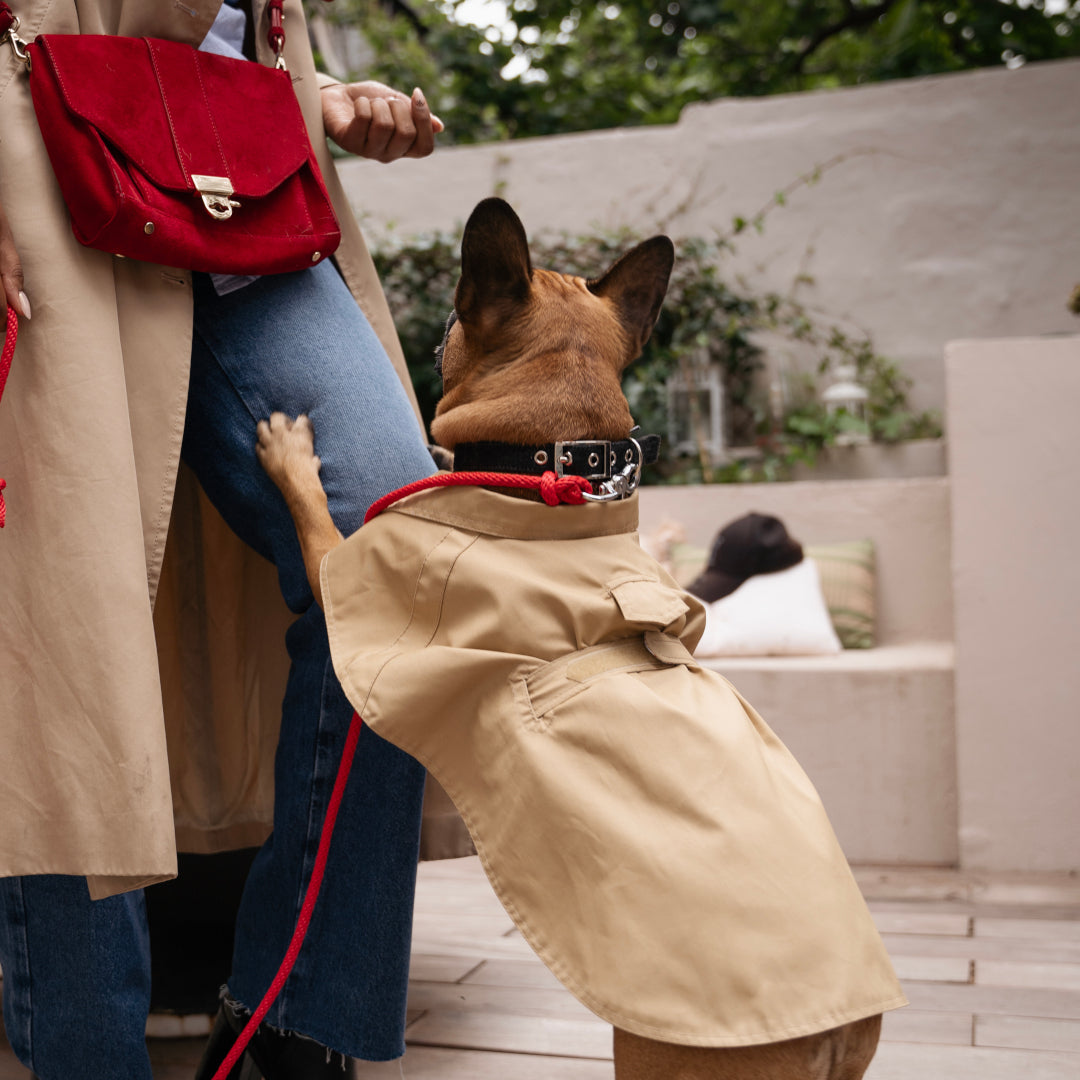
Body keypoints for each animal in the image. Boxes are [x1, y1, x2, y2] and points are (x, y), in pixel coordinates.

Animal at [257, 198, 898, 1075]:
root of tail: (837, 1025)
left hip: (669, 1054)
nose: (438, 331)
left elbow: (316, 518)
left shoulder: (353, 575)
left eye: (453, 315)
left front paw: (291, 454)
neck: (551, 466)